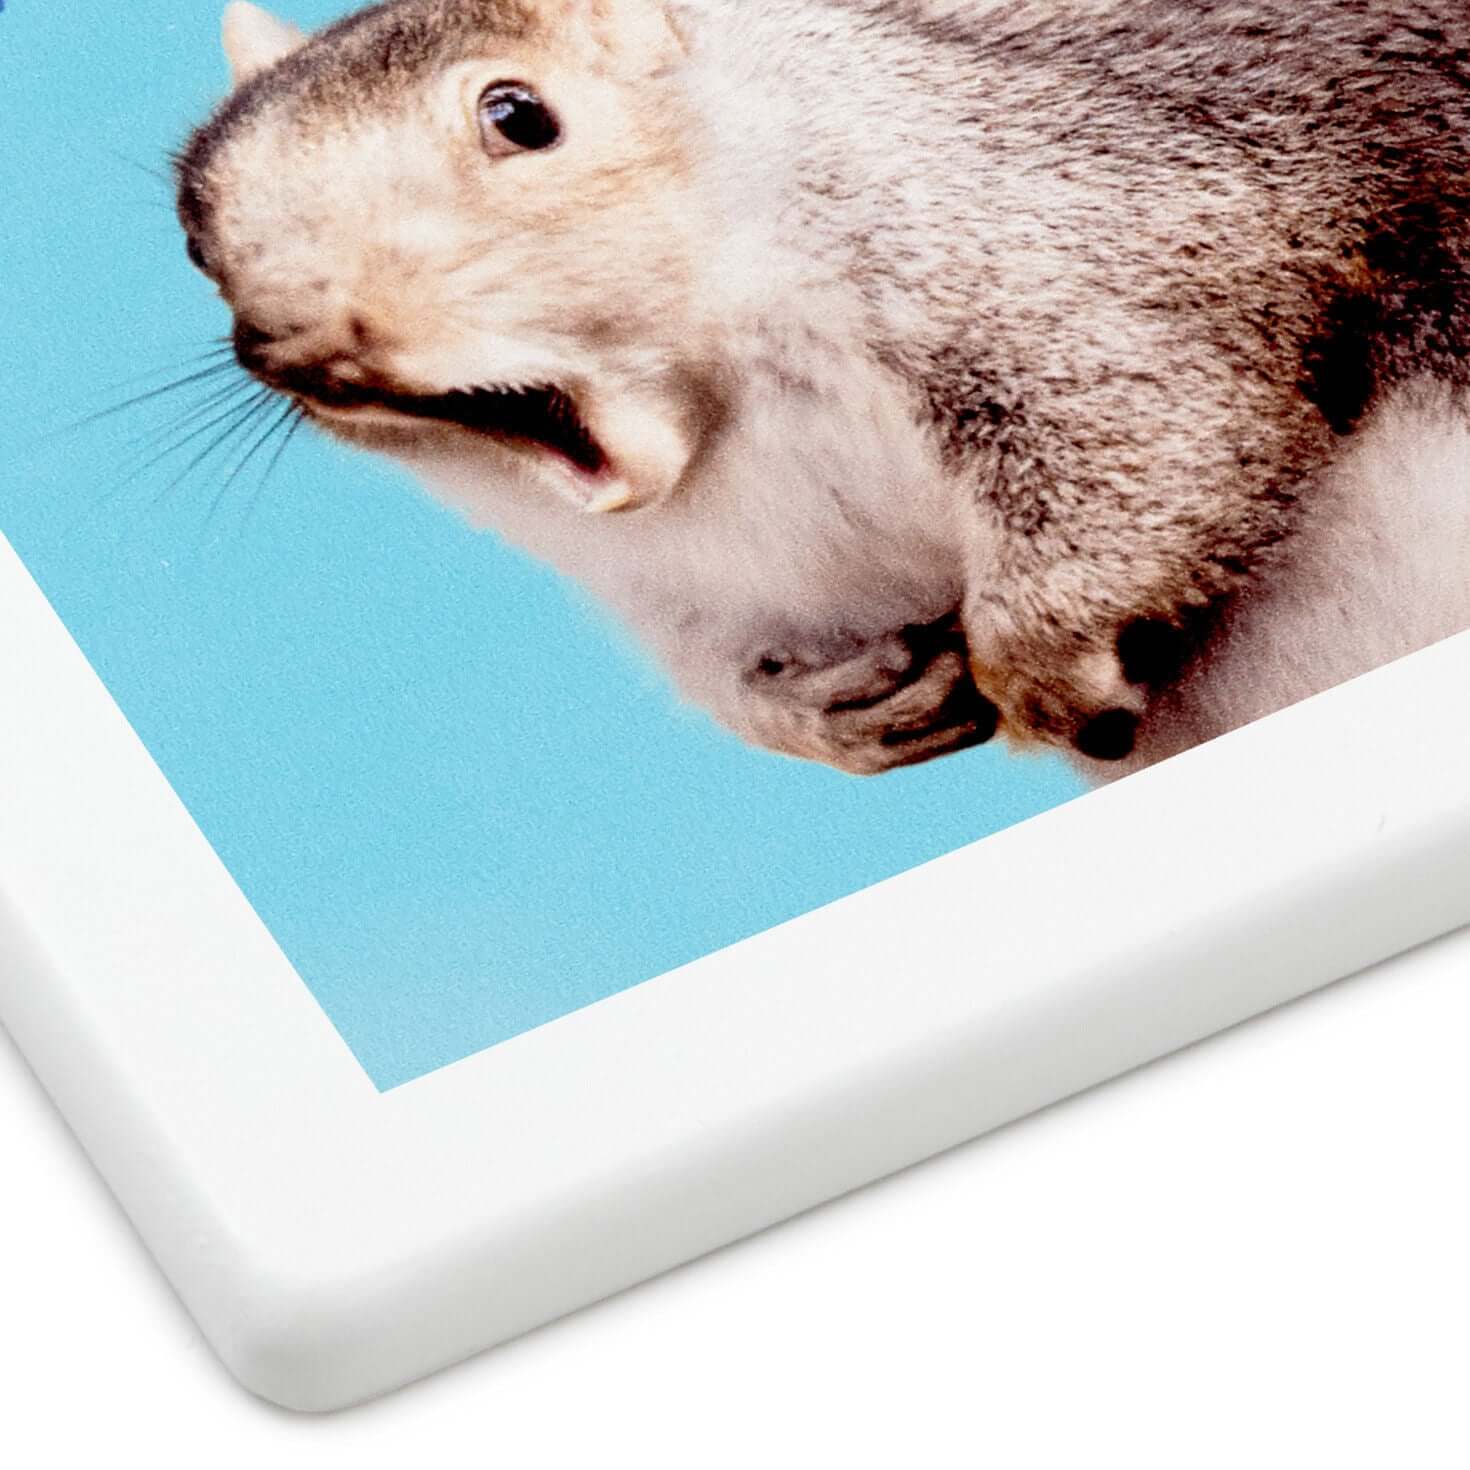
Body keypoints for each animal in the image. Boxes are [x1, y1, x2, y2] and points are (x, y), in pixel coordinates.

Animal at [175, 0, 1470, 775]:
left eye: (519, 114)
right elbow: (728, 665)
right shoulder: (696, 583)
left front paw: (1041, 664)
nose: (291, 337)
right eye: (193, 227)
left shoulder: (1090, 236)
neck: (739, 432)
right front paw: (824, 711)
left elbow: (1149, 424)